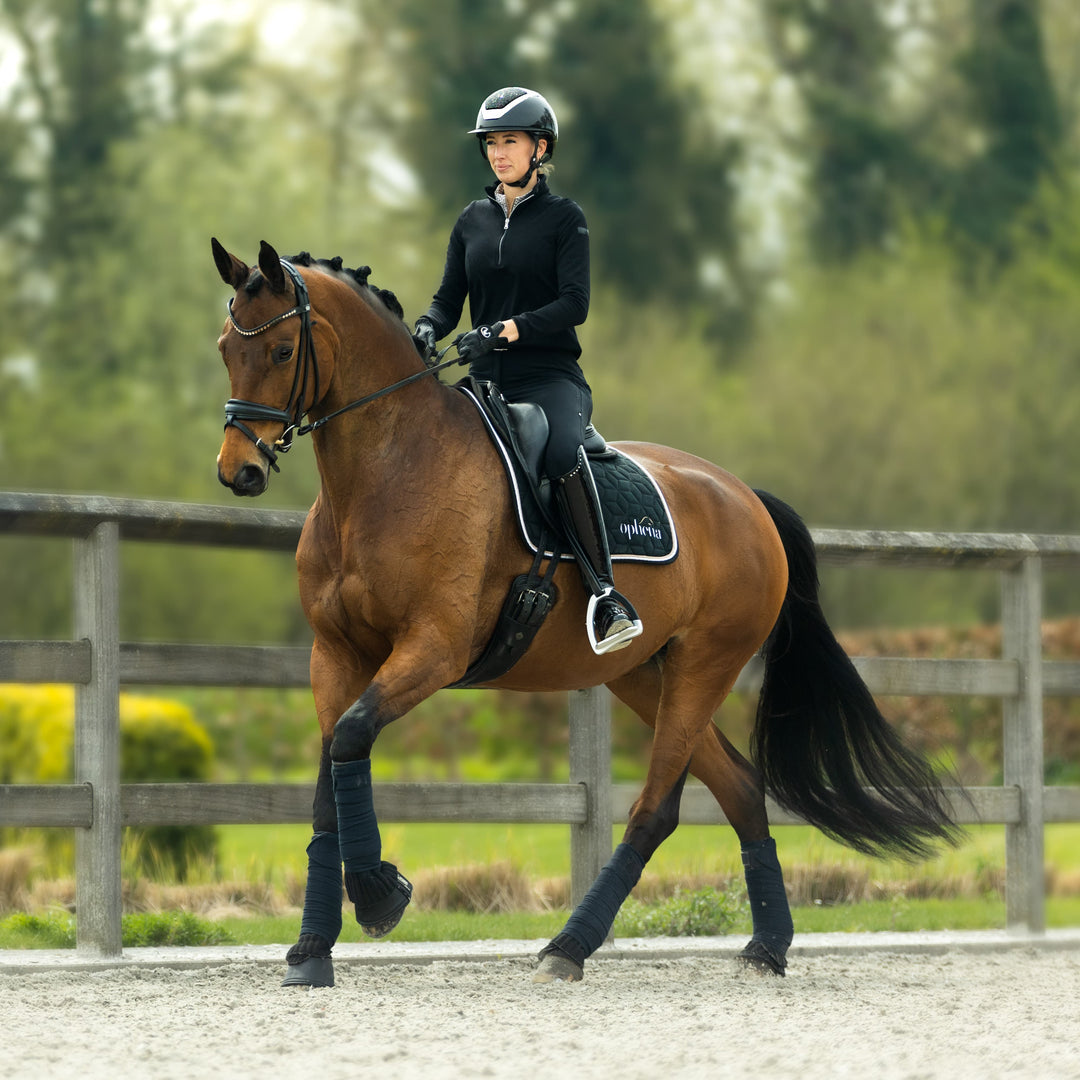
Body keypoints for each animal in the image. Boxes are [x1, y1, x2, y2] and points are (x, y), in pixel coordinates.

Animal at [212, 238, 959, 987]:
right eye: (225, 347)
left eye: (281, 350)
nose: (238, 471)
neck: (388, 470)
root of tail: (746, 497)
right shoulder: (336, 656)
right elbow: (331, 777)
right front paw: (312, 948)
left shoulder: (433, 650)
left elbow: (351, 739)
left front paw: (378, 897)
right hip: (642, 675)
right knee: (742, 789)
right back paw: (766, 947)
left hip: (704, 665)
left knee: (656, 811)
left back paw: (568, 947)